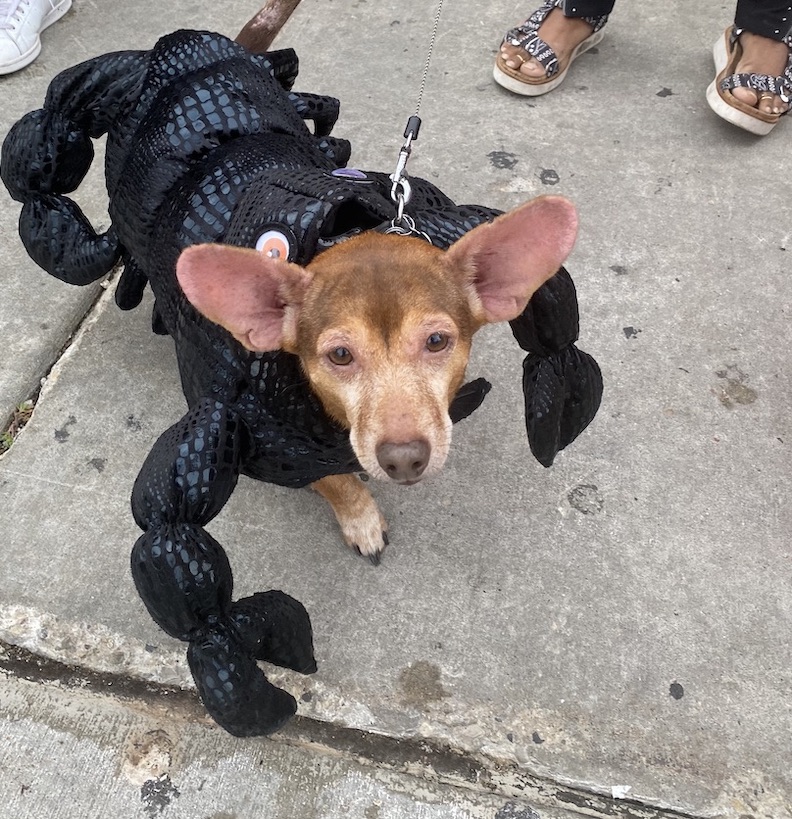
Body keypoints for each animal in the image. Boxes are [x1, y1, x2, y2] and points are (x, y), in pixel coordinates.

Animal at [176, 195, 580, 564]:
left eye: (436, 341)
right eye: (340, 355)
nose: (404, 459)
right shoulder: (279, 445)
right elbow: (333, 479)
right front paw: (361, 519)